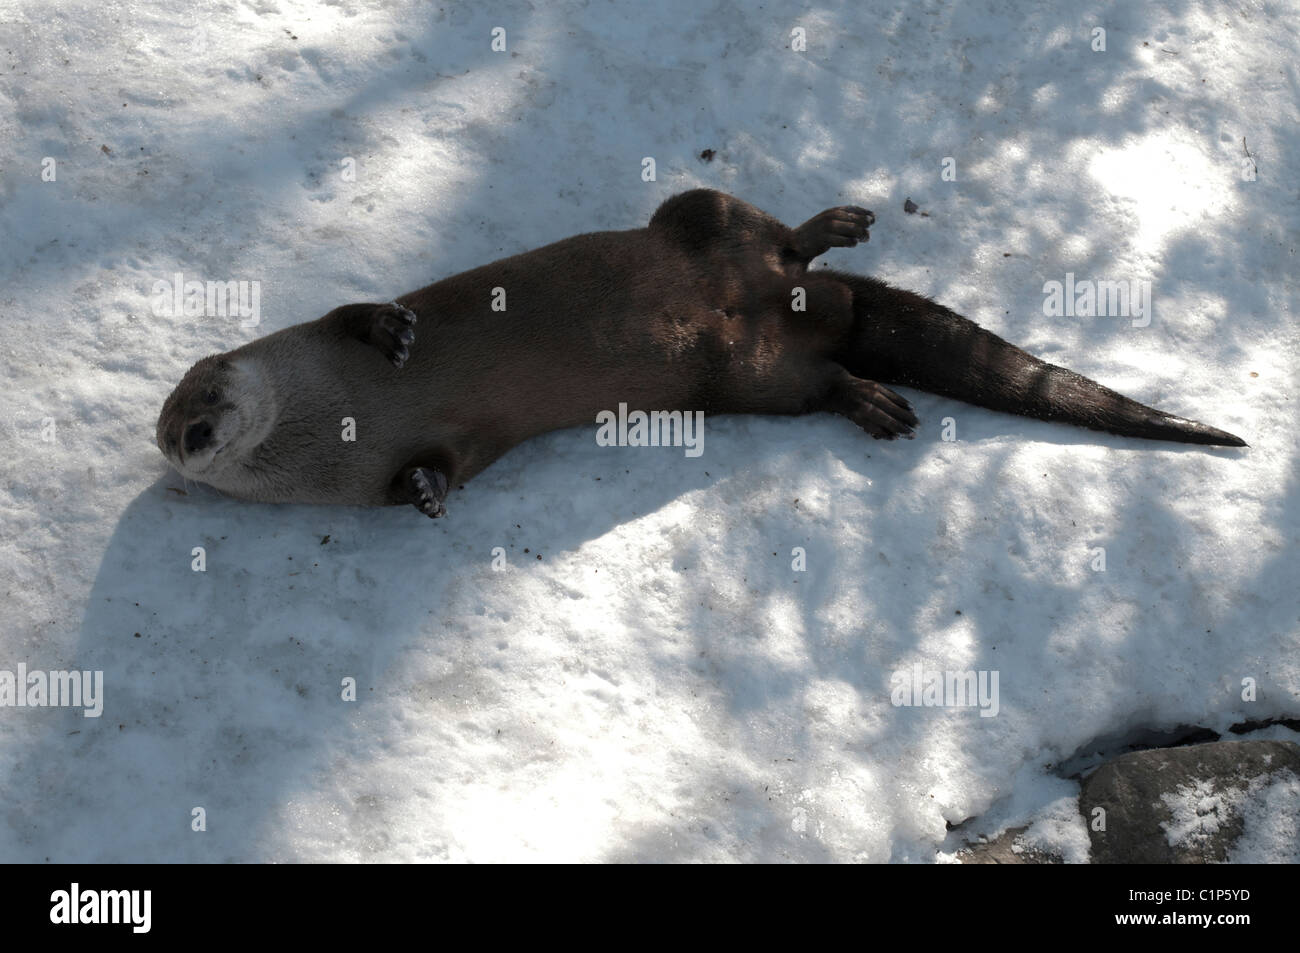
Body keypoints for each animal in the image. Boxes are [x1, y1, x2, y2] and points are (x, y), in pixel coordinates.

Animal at [156, 189, 1245, 518]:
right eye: (170, 434)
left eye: (203, 388)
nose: (194, 434)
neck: (339, 422)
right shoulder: (427, 450)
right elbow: (433, 474)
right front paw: (422, 496)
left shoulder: (317, 337)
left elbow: (360, 311)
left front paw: (396, 332)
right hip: (755, 376)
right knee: (817, 378)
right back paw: (874, 401)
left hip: (698, 220)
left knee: (766, 234)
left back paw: (833, 227)